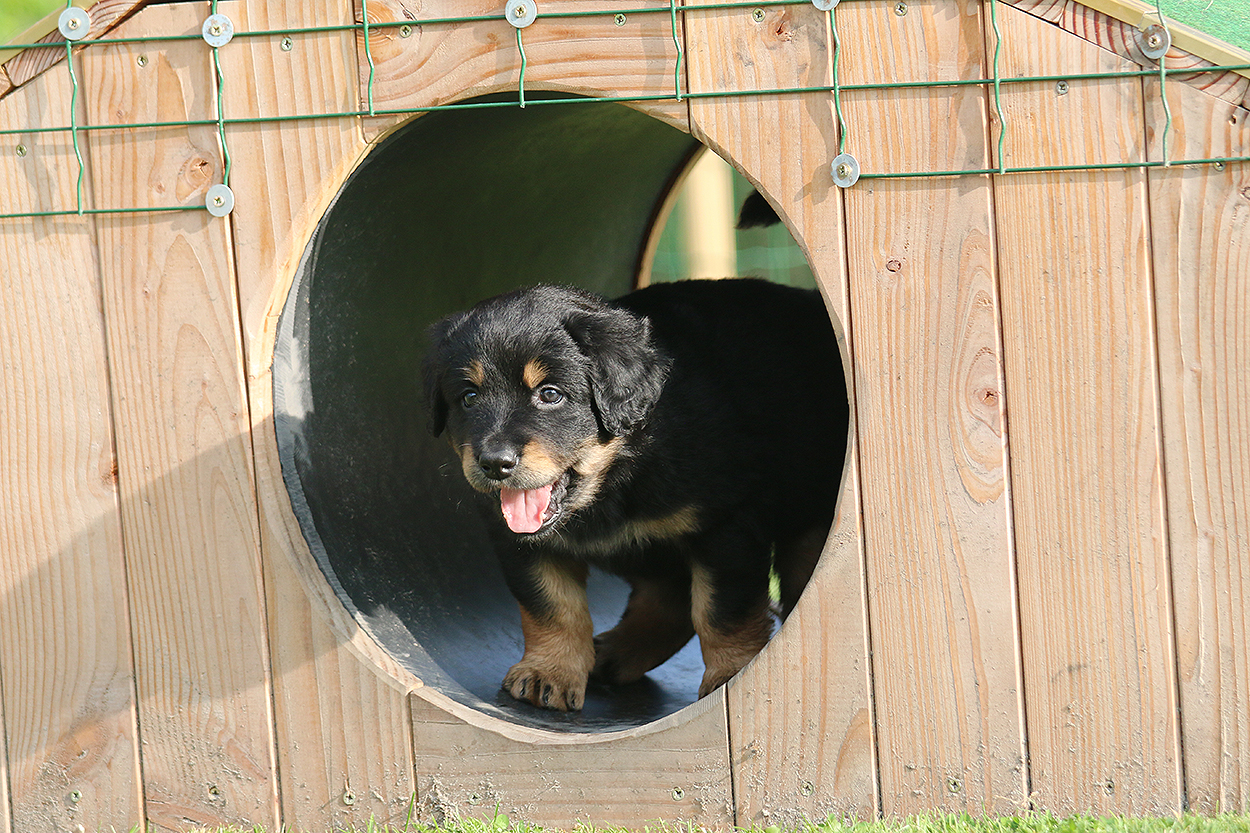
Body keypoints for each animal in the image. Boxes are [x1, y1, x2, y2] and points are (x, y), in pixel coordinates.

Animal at [423, 278, 848, 711]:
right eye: (469, 398)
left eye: (550, 394)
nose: (494, 463)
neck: (616, 477)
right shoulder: (517, 542)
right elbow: (551, 605)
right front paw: (549, 672)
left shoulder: (725, 525)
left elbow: (721, 610)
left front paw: (731, 675)